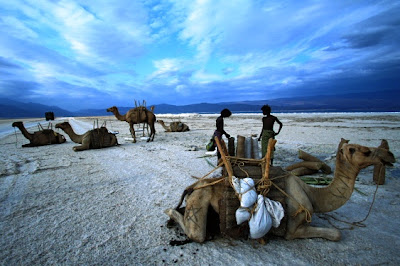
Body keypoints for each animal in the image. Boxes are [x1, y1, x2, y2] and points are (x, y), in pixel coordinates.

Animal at [164, 139, 396, 243]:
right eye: (364, 151)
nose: (390, 155)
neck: (313, 195)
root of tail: (193, 187)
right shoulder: (293, 229)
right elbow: (336, 234)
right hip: (198, 201)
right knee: (196, 234)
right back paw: (169, 214)